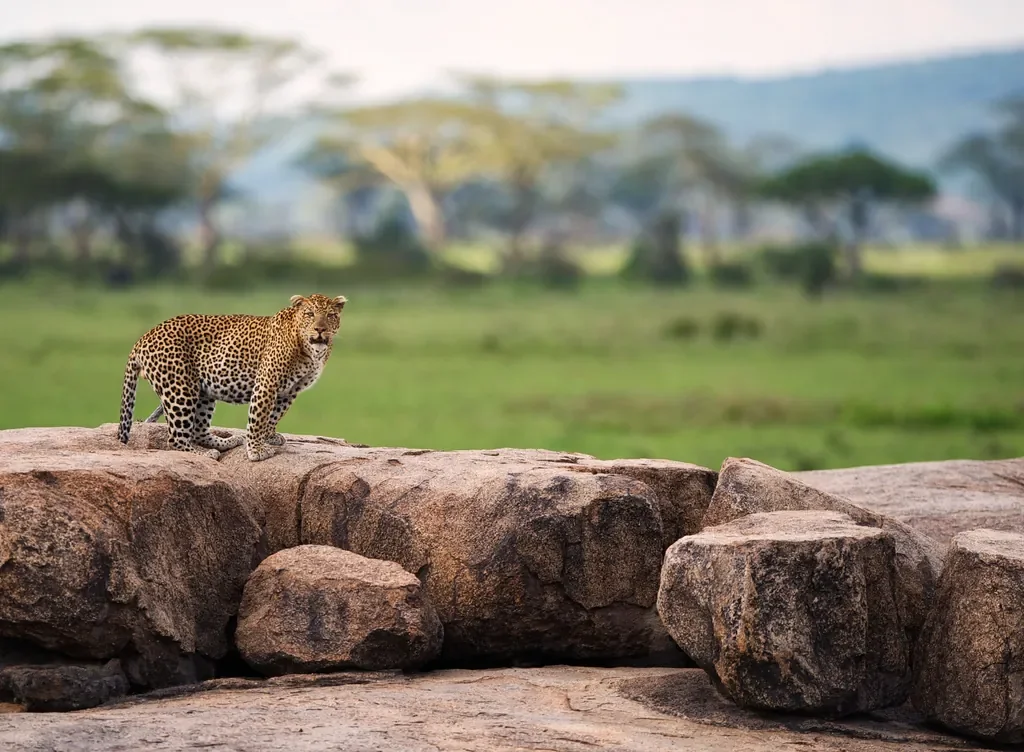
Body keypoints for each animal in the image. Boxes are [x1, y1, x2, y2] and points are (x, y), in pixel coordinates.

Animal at [118, 293, 347, 462]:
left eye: (330, 315)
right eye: (309, 314)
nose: (320, 329)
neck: (310, 352)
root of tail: (143, 338)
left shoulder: (290, 390)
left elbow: (274, 415)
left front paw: (269, 436)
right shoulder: (267, 383)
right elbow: (258, 418)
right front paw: (255, 450)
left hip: (204, 391)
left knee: (199, 430)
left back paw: (228, 442)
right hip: (180, 388)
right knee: (176, 438)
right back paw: (203, 454)